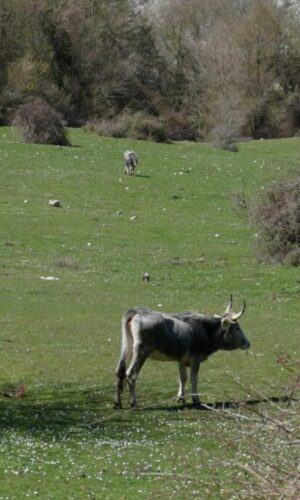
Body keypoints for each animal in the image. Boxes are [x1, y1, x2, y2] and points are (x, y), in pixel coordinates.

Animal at [113, 296, 250, 406]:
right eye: (237, 328)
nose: (248, 343)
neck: (205, 329)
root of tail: (136, 312)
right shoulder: (196, 358)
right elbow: (194, 378)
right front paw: (196, 399)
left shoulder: (181, 359)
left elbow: (182, 377)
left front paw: (181, 397)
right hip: (141, 351)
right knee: (131, 374)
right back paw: (133, 402)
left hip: (126, 347)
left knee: (119, 372)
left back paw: (117, 403)